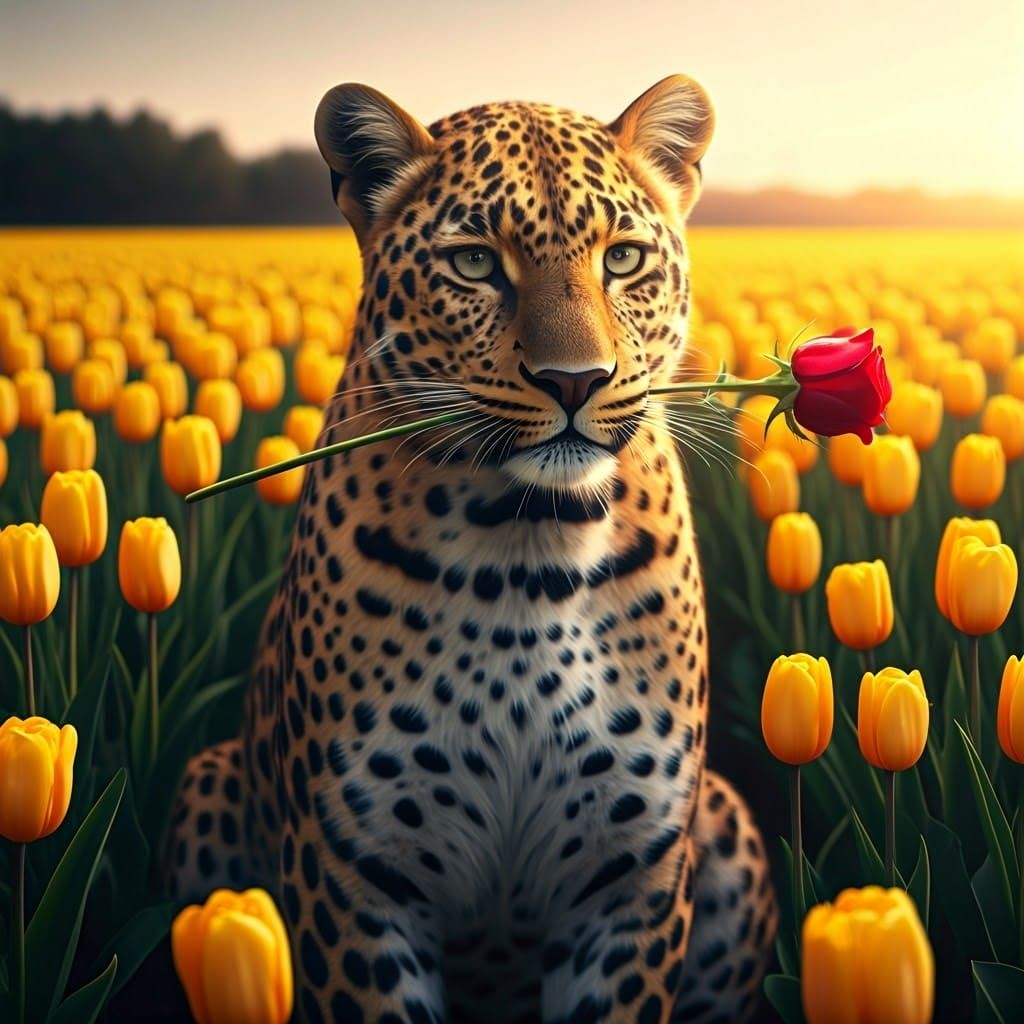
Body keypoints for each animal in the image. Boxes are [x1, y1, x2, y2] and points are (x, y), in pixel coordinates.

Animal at [166, 74, 777, 1023]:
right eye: (476, 264)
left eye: (622, 260)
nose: (575, 382)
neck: (530, 547)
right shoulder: (356, 882)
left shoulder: (629, 881)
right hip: (209, 785)